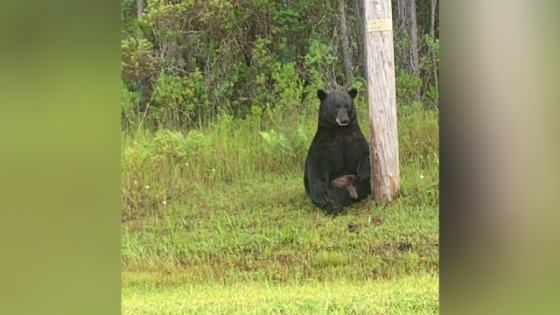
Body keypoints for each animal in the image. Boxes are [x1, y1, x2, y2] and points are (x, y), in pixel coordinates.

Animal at [302, 89, 372, 217]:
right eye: (336, 106)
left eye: (347, 105)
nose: (344, 120)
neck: (341, 131)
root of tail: (351, 191)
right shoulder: (323, 145)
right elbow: (316, 166)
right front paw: (320, 196)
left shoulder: (355, 139)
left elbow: (366, 151)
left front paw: (363, 172)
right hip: (333, 187)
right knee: (331, 198)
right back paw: (336, 208)